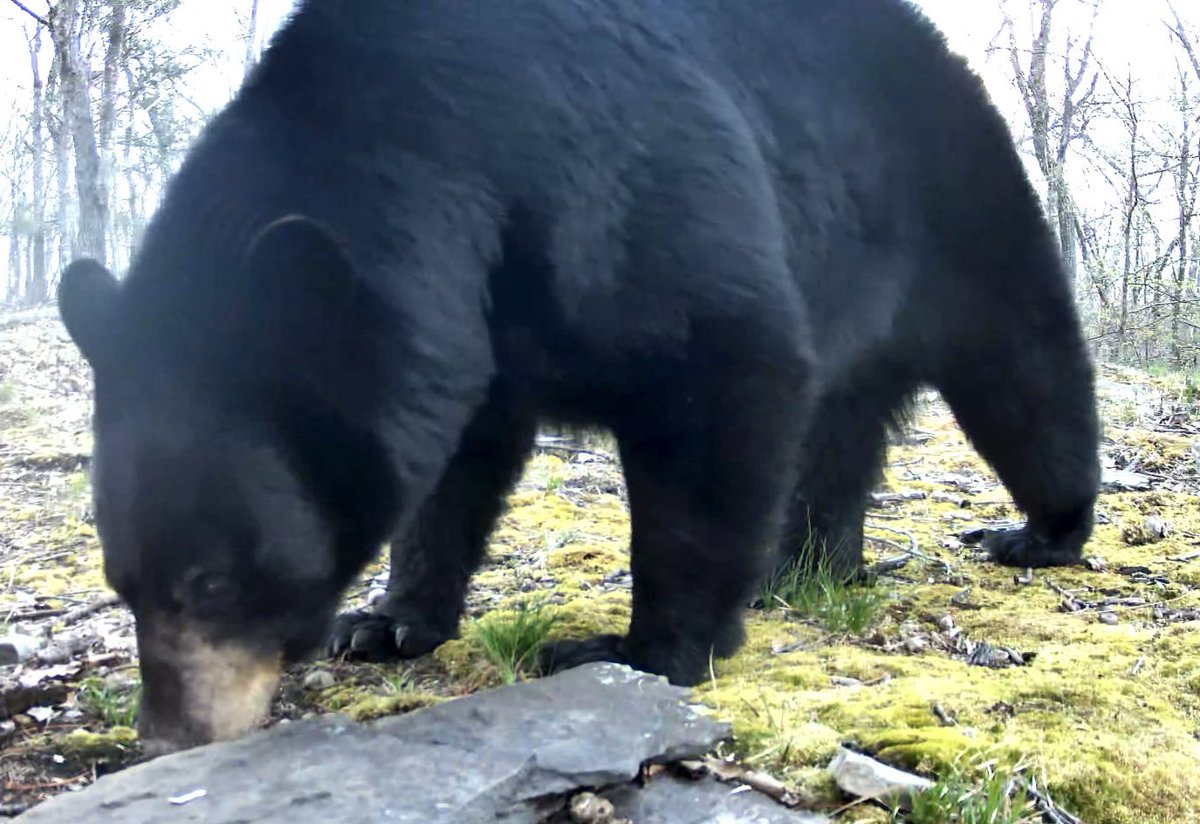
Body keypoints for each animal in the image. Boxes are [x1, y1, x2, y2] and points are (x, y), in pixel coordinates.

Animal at [57, 0, 1099, 756]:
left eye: (212, 581)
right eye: (119, 579)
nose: (168, 737)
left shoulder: (614, 181)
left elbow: (726, 362)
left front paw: (641, 649)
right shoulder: (475, 323)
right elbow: (456, 471)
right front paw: (388, 621)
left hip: (960, 219)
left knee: (1028, 380)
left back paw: (1038, 532)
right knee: (838, 431)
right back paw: (807, 565)